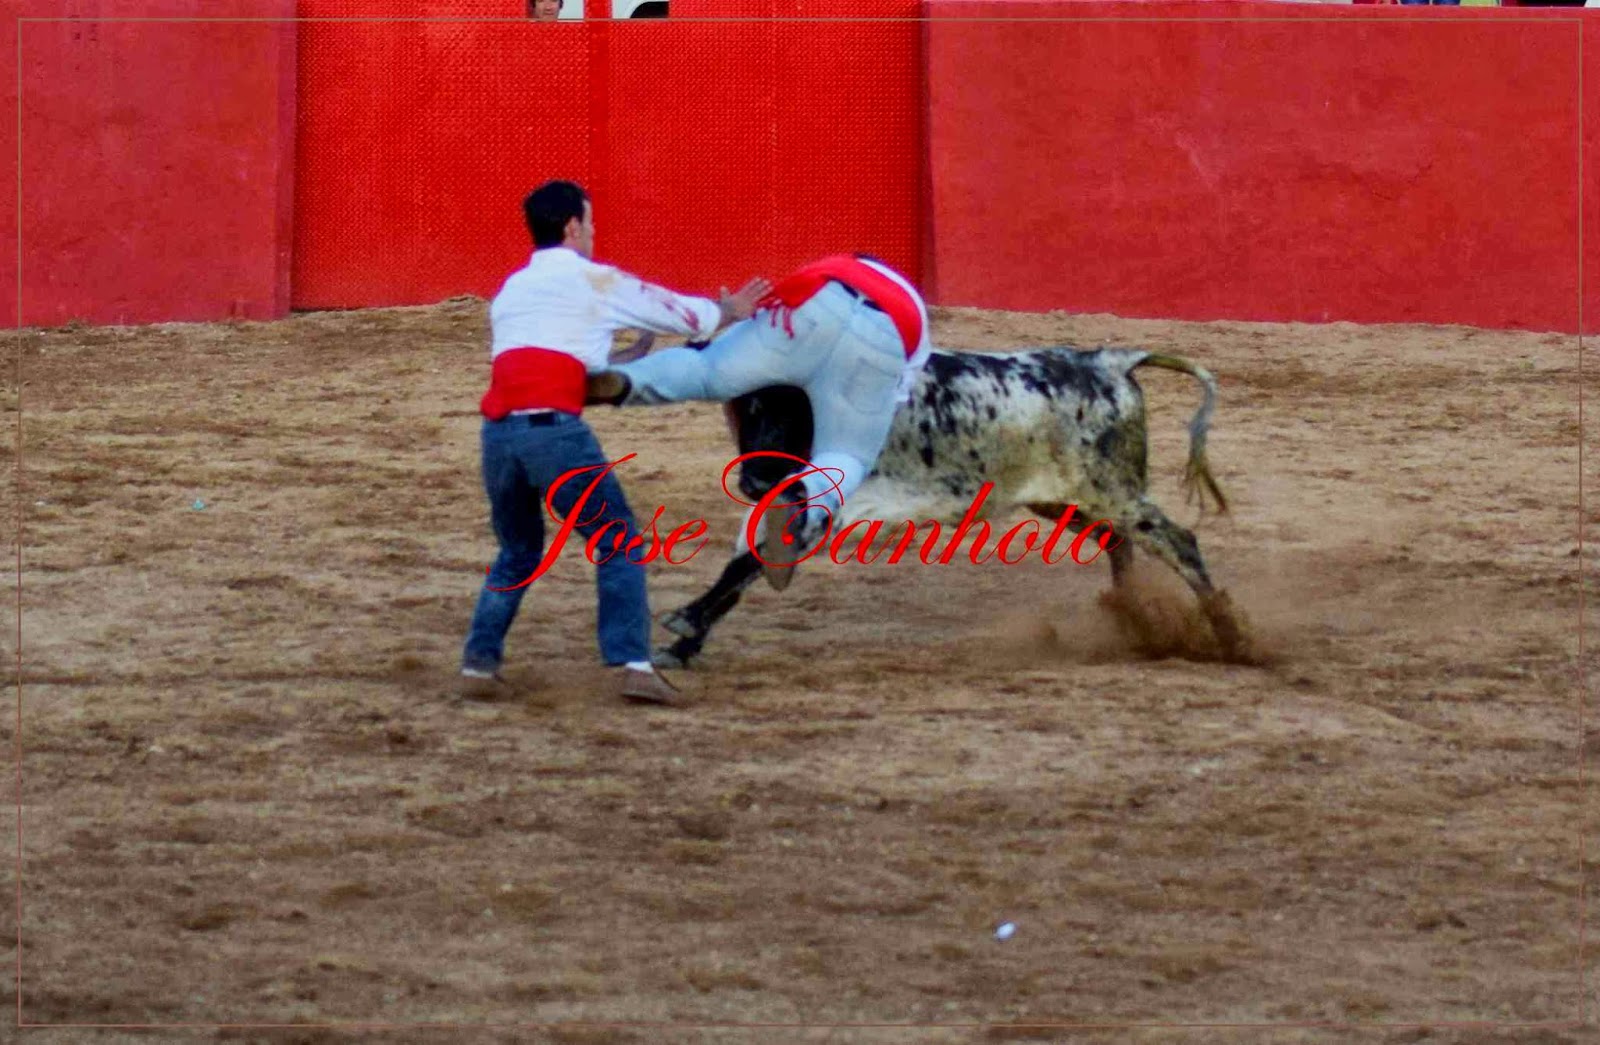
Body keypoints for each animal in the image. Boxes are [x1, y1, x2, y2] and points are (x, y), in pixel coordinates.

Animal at [649, 345, 1253, 668]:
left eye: (794, 411)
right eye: (745, 410)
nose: (753, 479)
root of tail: (1111, 362)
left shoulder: (825, 500)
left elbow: (748, 562)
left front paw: (684, 623)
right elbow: (742, 560)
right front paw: (683, 644)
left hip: (1114, 491)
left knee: (1178, 540)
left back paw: (1230, 638)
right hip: (1066, 498)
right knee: (1119, 542)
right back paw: (1133, 615)